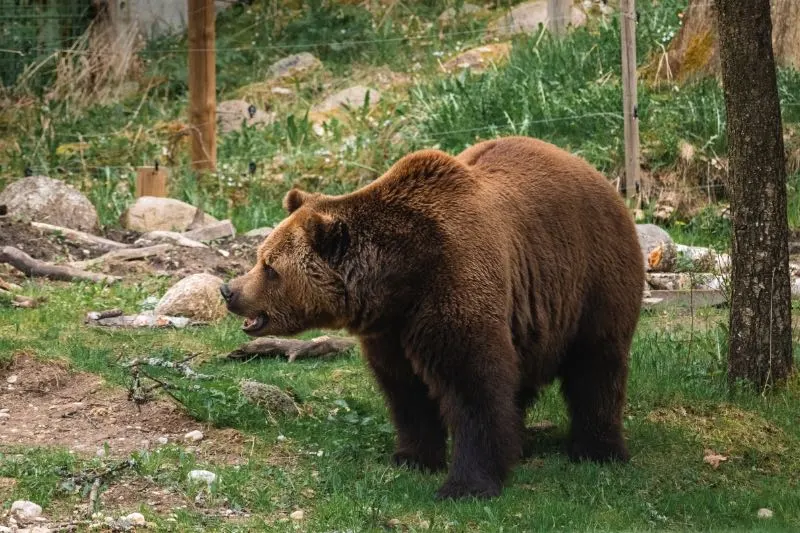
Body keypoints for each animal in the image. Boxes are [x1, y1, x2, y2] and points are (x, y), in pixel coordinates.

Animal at [219, 134, 644, 498]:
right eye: (261, 257)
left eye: (270, 268)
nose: (229, 291)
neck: (400, 279)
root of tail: (598, 175)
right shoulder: (391, 328)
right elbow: (406, 390)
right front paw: (413, 457)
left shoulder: (453, 281)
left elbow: (472, 385)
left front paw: (466, 484)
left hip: (592, 276)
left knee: (596, 365)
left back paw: (597, 449)